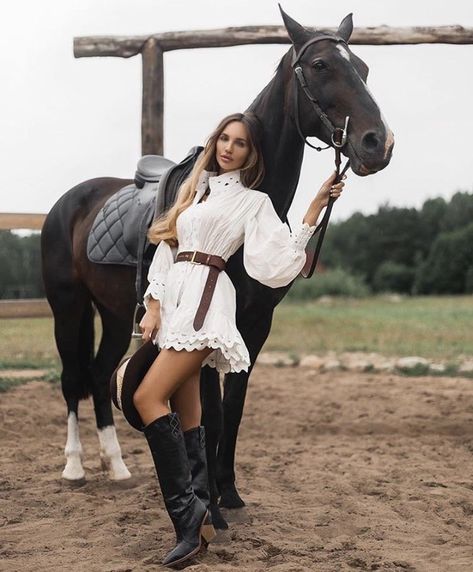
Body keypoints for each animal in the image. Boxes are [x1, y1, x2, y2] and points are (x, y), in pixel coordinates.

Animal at [42, 6, 392, 528]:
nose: (377, 143)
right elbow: (209, 413)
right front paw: (211, 505)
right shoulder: (204, 323)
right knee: (72, 378)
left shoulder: (256, 325)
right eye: (321, 65)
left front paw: (230, 493)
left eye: (364, 68)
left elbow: (235, 409)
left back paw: (118, 466)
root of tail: (70, 201)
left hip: (114, 313)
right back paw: (74, 467)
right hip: (68, 307)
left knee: (103, 374)